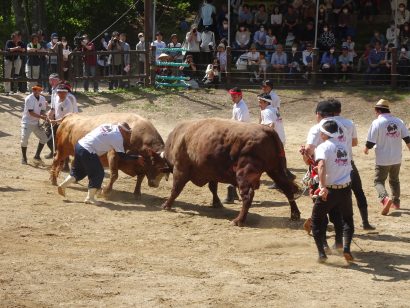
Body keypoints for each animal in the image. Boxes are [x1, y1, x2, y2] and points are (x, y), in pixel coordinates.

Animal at [163, 118, 302, 226]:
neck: (178, 138)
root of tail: (268, 130)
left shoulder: (180, 169)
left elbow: (176, 189)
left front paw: (167, 205)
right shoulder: (212, 173)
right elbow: (213, 187)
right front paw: (216, 203)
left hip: (244, 175)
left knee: (248, 196)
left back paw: (238, 220)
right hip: (275, 171)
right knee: (287, 189)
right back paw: (295, 214)